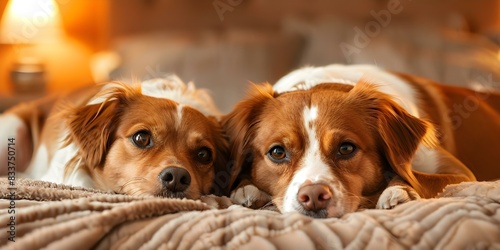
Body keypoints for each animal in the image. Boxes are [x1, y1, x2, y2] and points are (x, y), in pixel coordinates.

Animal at [224, 65, 500, 219]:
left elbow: (420, 179)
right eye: (278, 152)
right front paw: (246, 188)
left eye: (346, 148)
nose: (313, 196)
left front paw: (398, 190)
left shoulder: (461, 173)